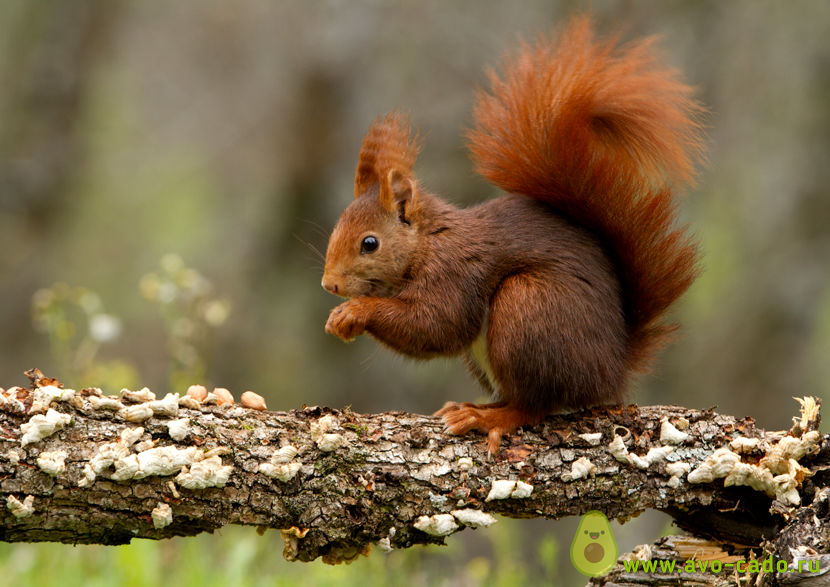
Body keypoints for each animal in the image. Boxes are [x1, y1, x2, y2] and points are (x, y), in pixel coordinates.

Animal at [322, 16, 704, 452]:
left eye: (369, 243)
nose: (330, 285)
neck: (427, 243)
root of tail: (612, 369)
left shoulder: (455, 272)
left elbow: (436, 325)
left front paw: (354, 312)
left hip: (528, 308)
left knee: (533, 405)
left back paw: (490, 417)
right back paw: (476, 406)